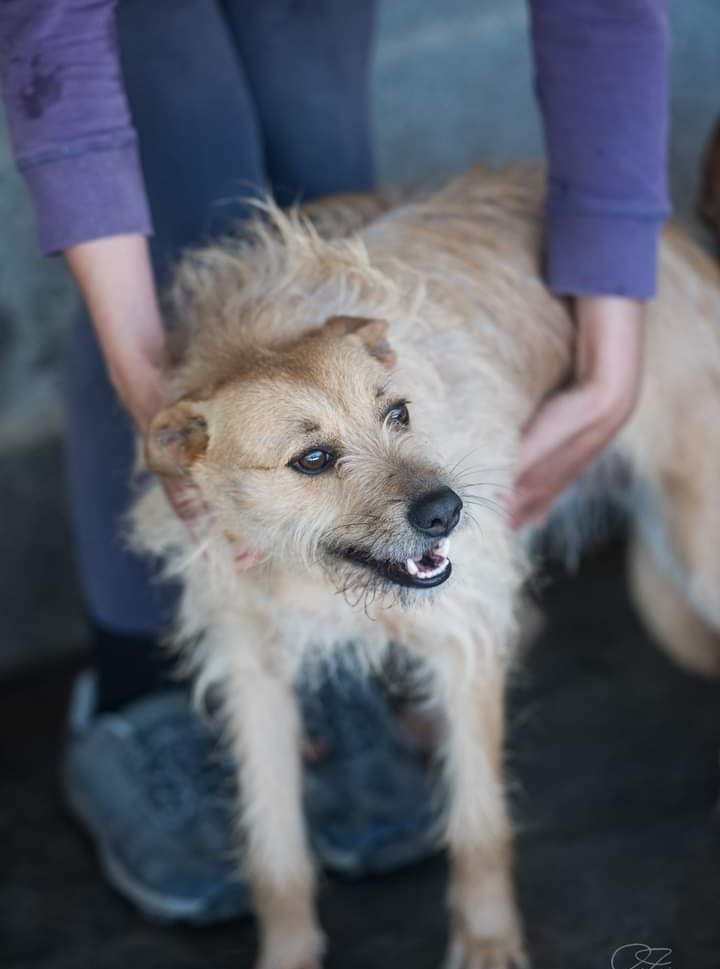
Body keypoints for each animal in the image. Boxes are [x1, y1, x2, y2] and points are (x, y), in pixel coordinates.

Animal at [129, 168, 720, 968]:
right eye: (312, 458)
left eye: (398, 413)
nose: (447, 510)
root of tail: (676, 236)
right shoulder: (254, 672)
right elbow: (275, 851)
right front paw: (288, 951)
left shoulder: (462, 636)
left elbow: (479, 822)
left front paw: (488, 940)